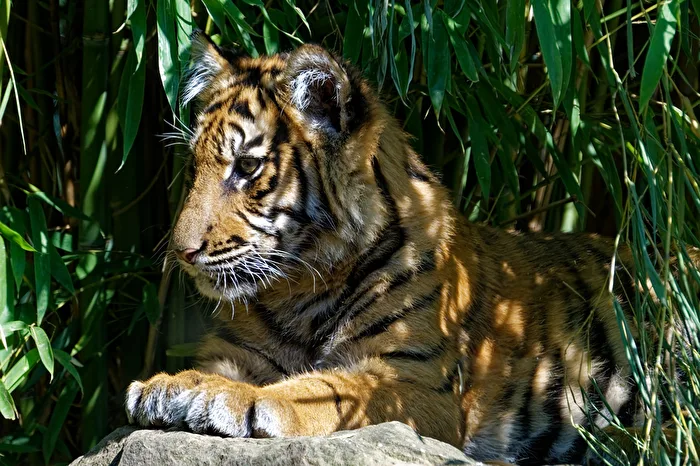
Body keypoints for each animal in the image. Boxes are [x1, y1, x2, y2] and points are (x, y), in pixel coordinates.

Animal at [125, 31, 693, 464]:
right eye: (194, 166)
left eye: (247, 167)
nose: (180, 253)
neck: (301, 287)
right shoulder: (235, 350)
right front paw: (171, 386)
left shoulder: (414, 381)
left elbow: (327, 389)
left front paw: (221, 396)